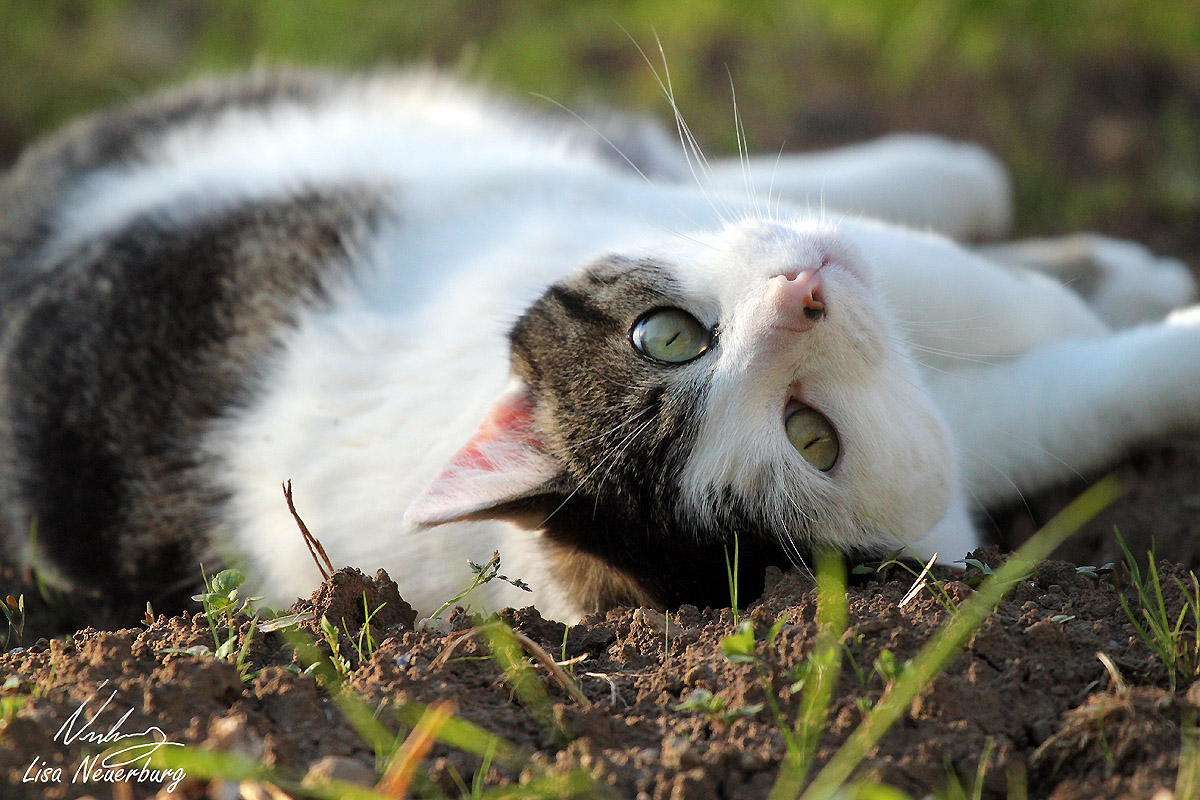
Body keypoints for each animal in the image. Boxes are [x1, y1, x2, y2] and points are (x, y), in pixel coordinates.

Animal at [0, 68, 1195, 623]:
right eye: (810, 437)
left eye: (663, 335)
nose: (804, 295)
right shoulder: (950, 467)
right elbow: (1071, 389)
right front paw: (1152, 331)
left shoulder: (616, 216)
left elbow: (951, 279)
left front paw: (1092, 282)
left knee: (691, 162)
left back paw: (971, 181)